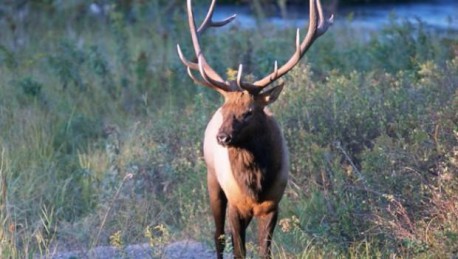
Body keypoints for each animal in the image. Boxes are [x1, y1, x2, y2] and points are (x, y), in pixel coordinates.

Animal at [176, 0, 332, 258]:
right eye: (225, 110)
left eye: (249, 111)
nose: (222, 137)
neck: (255, 186)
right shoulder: (235, 205)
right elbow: (238, 250)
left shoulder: (272, 205)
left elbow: (263, 251)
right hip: (212, 179)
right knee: (218, 235)